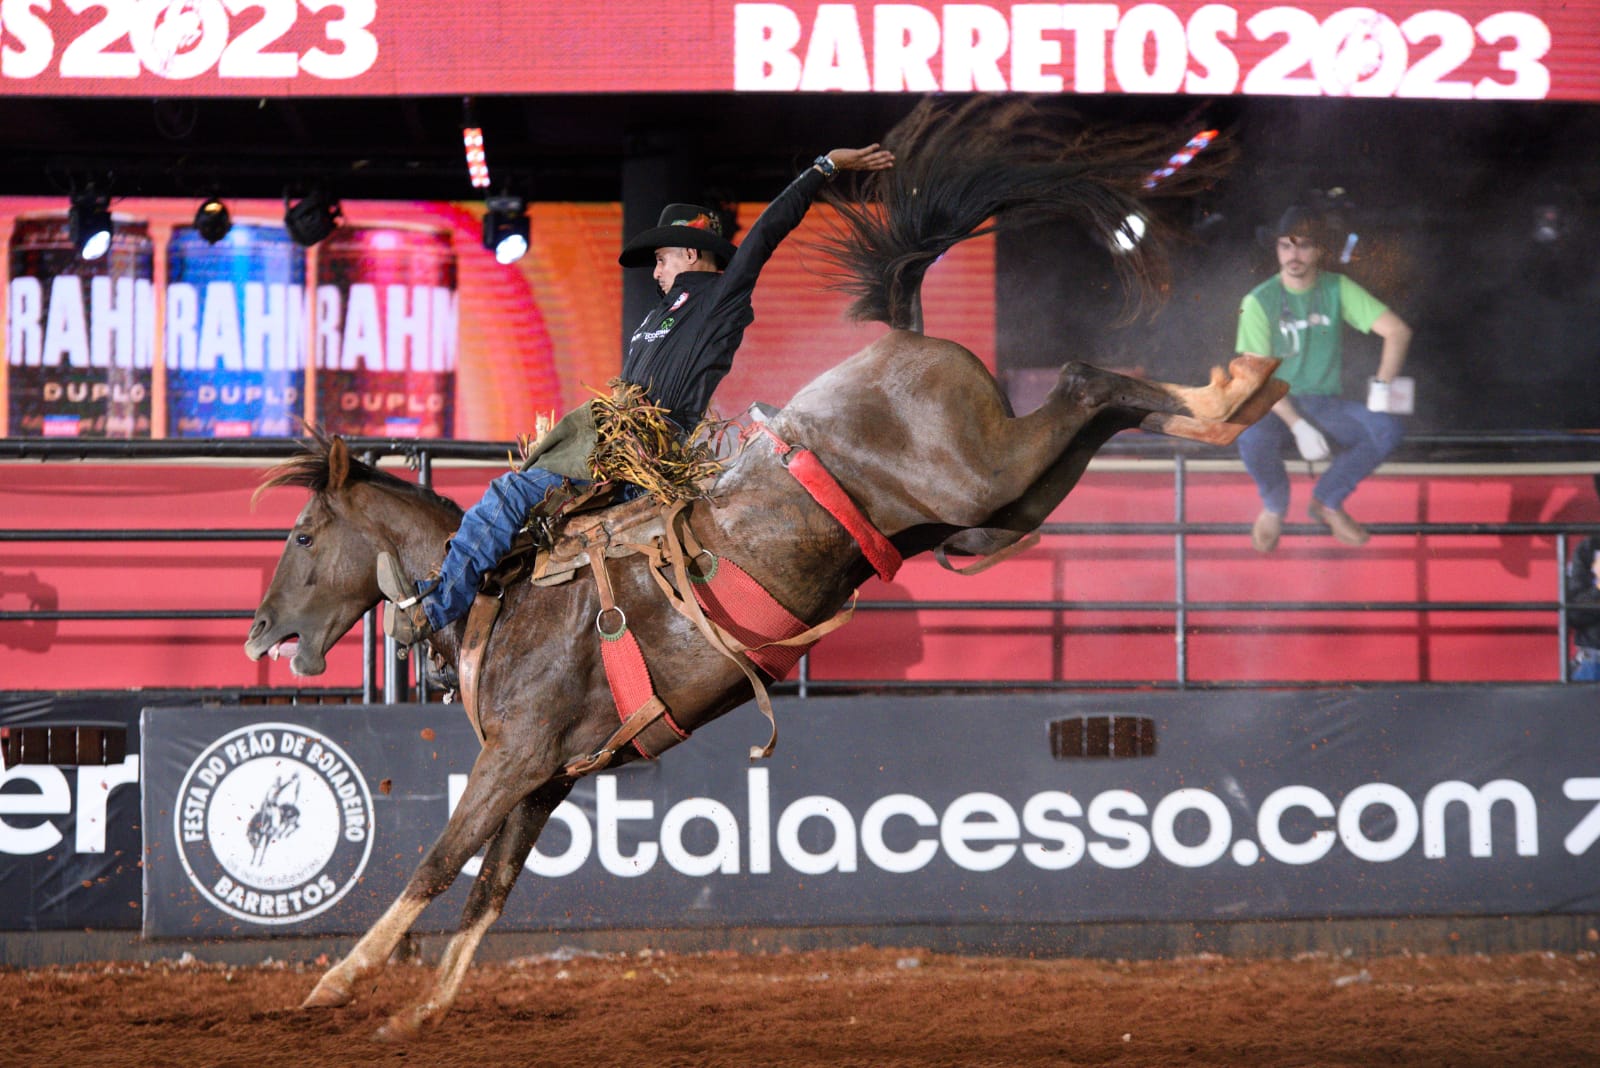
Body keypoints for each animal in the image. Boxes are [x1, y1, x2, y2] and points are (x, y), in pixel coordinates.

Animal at [240, 95, 1286, 1036]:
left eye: (301, 537)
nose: (260, 633)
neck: (502, 600)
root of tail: (901, 332)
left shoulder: (516, 756)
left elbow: (438, 860)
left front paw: (335, 984)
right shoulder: (548, 776)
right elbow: (489, 888)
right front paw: (418, 1012)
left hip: (982, 472)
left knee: (1078, 380)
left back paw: (1231, 390)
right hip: (989, 506)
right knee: (1081, 428)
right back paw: (1230, 397)